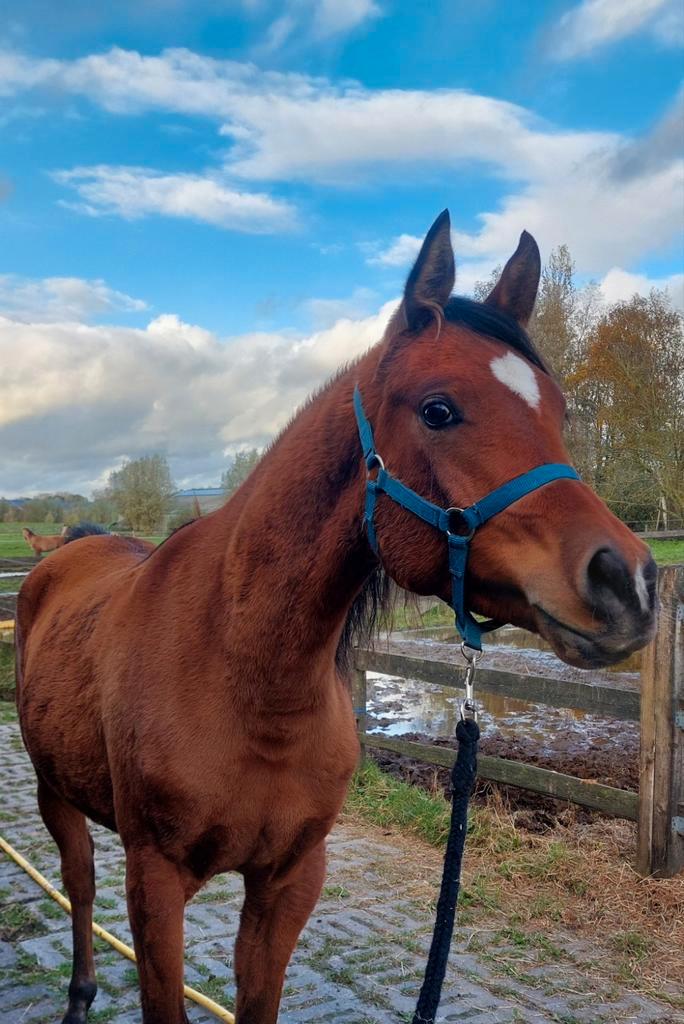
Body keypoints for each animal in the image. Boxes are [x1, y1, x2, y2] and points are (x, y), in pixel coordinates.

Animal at [15, 211, 657, 1024]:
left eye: (559, 411)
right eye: (438, 409)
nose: (629, 583)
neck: (247, 680)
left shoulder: (291, 882)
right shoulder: (155, 885)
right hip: (54, 793)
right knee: (78, 883)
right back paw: (79, 993)